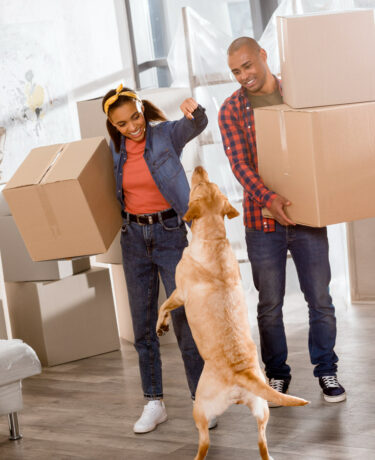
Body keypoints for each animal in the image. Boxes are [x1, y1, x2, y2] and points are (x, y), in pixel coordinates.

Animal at [156, 166, 308, 460]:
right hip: (262, 410)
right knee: (262, 441)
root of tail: (241, 375)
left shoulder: (178, 292)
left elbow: (163, 306)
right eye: (211, 183)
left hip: (201, 408)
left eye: (198, 185)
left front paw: (161, 325)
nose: (199, 168)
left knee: (204, 441)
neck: (213, 237)